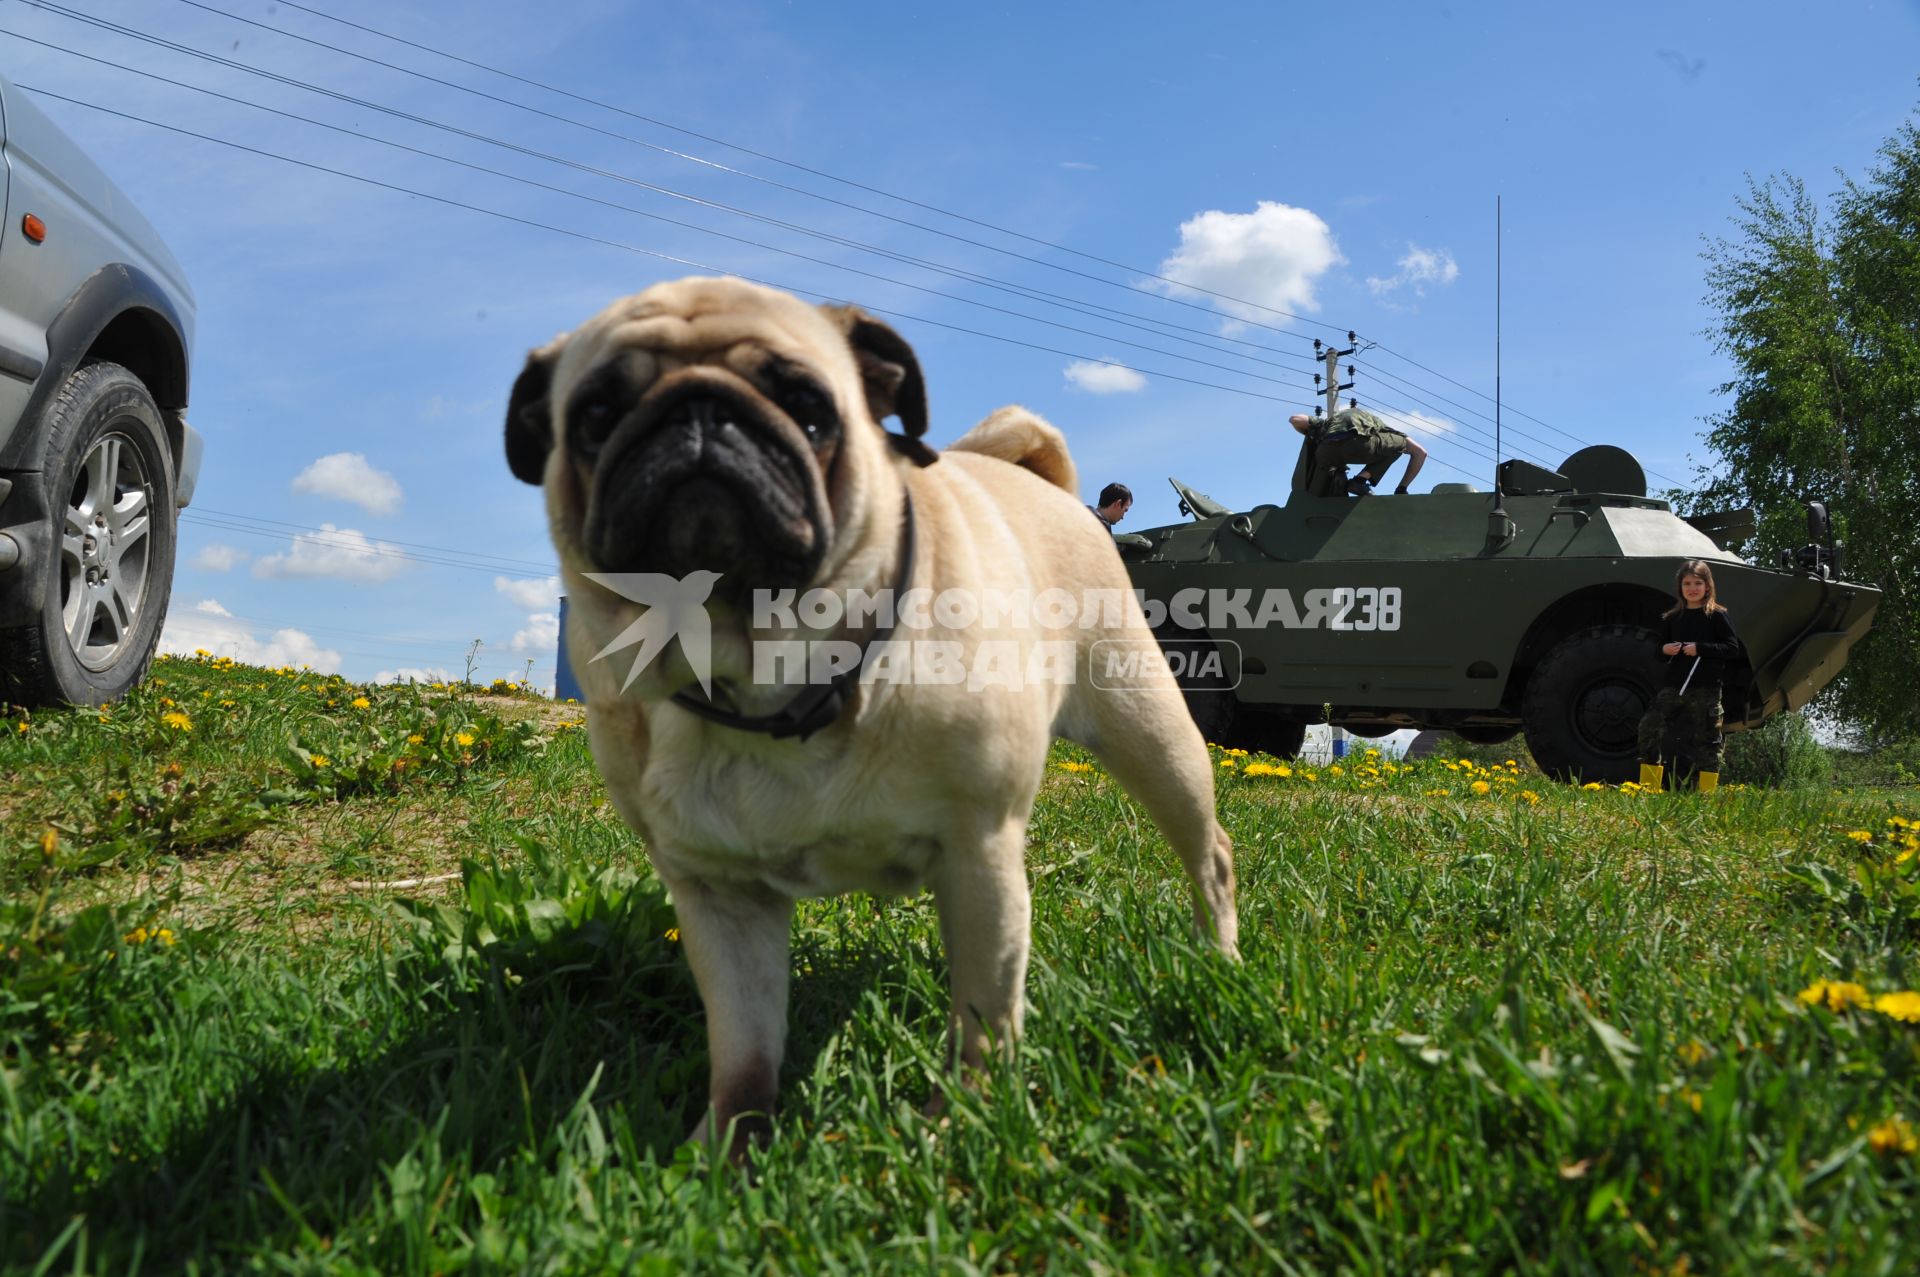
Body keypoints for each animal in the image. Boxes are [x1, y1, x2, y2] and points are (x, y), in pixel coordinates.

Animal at [503, 278, 1236, 1152]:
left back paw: (1220, 961)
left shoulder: (980, 854)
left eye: (808, 407)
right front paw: (723, 1150)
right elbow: (744, 1044)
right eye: (596, 415)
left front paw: (961, 1122)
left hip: (1151, 732)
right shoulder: (717, 894)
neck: (764, 677)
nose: (696, 413)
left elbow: (983, 1017)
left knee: (1209, 853)